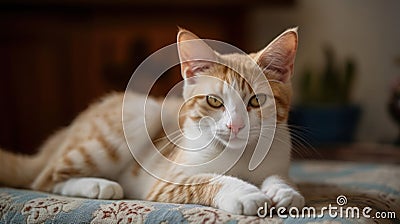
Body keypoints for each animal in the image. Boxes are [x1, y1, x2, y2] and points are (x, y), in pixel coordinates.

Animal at [0, 28, 304, 215]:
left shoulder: (278, 156)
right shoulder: (168, 181)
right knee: (43, 179)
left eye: (256, 101)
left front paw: (285, 191)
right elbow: (210, 179)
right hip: (136, 114)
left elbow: (279, 176)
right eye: (214, 101)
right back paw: (98, 185)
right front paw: (246, 193)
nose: (235, 126)